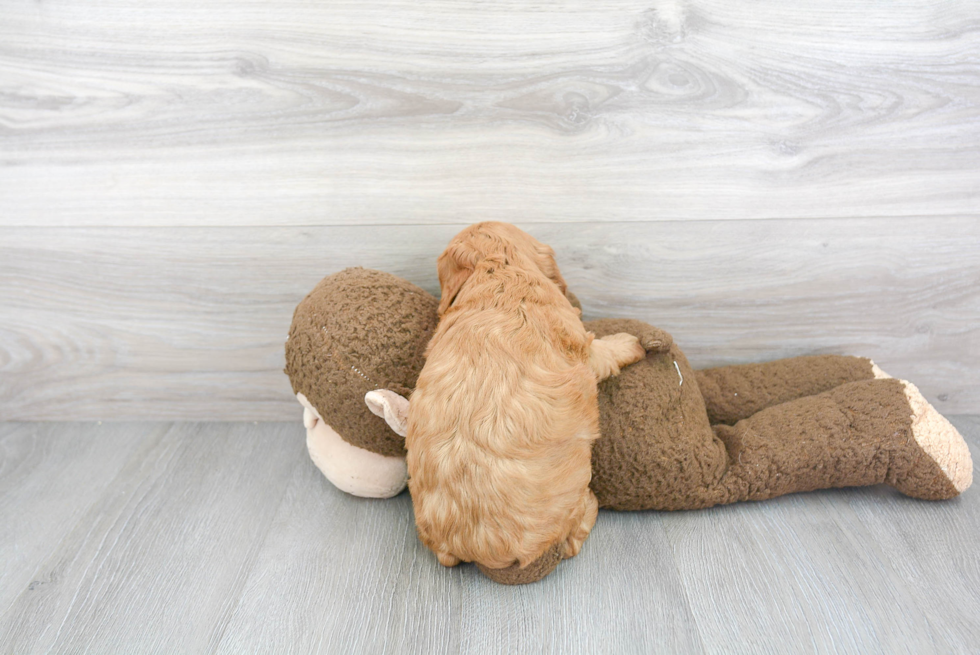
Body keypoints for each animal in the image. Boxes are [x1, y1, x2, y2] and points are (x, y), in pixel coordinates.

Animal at [408, 223, 652, 572]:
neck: (500, 271)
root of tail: (478, 546)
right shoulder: (582, 345)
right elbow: (604, 351)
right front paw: (630, 344)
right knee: (572, 539)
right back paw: (591, 505)